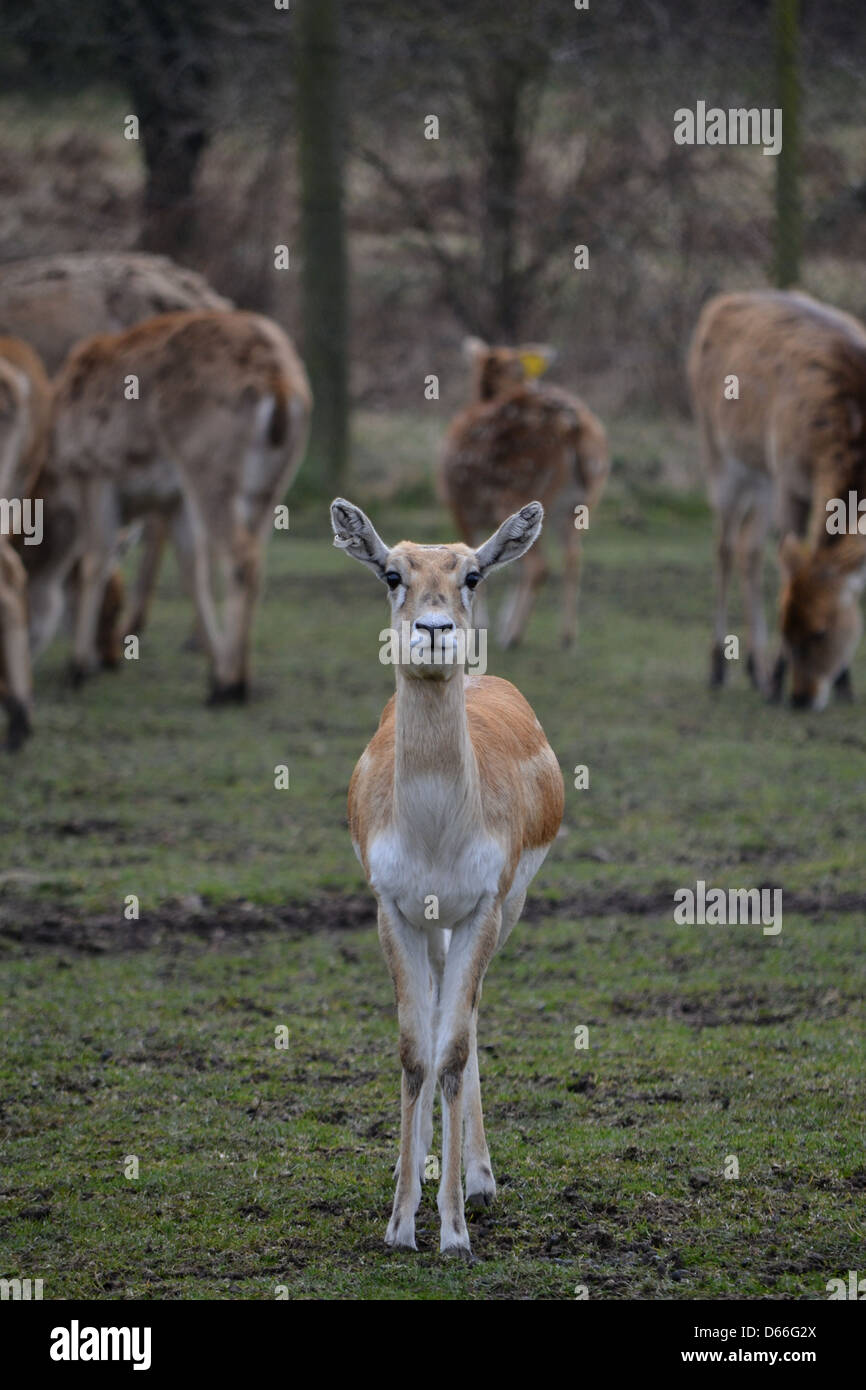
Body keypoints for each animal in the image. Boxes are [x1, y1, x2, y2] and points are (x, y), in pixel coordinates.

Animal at [330, 500, 561, 1262]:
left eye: (472, 573)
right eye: (392, 573)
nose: (436, 632)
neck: (434, 826)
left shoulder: (482, 908)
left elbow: (454, 1048)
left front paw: (455, 1230)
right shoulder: (393, 909)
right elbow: (414, 1050)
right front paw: (401, 1222)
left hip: (499, 914)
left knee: (468, 1017)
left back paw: (478, 1178)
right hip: (433, 928)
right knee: (433, 1023)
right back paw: (422, 1163)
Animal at [439, 344, 608, 653]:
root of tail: (572, 426)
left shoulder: (459, 505)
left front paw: (479, 626)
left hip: (517, 491)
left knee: (538, 565)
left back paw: (513, 636)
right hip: (581, 500)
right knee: (572, 556)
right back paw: (566, 636)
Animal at [695, 290, 866, 706]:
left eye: (821, 630)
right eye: (785, 622)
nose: (801, 698)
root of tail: (718, 304)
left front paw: (845, 684)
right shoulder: (790, 479)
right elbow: (790, 564)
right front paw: (776, 679)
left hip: (762, 475)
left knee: (749, 547)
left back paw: (752, 668)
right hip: (719, 451)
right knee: (725, 545)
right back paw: (722, 667)